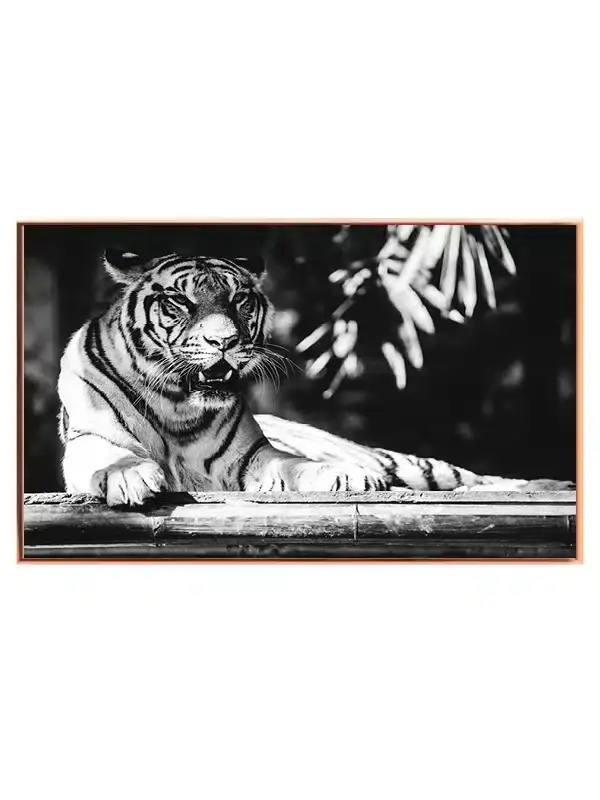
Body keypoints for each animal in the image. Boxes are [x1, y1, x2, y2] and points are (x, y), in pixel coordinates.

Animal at [57, 251, 558, 507]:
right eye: (180, 301)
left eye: (239, 300)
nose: (224, 341)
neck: (177, 405)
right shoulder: (89, 440)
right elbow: (110, 458)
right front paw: (128, 477)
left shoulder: (253, 458)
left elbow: (295, 466)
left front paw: (345, 476)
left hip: (409, 464)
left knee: (471, 477)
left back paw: (548, 486)